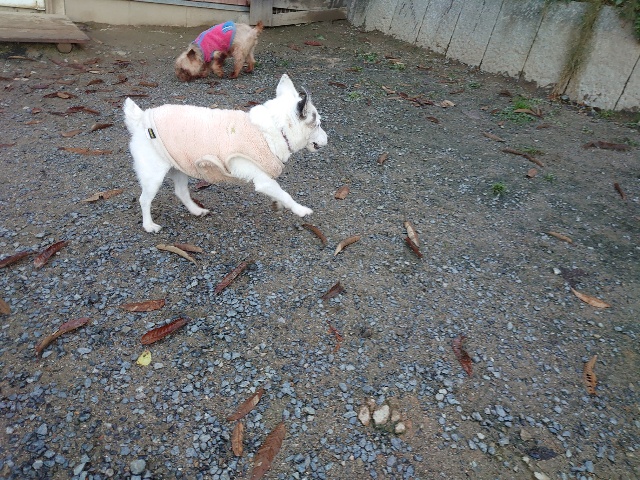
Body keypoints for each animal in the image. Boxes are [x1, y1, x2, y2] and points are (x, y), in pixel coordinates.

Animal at [123, 74, 328, 233]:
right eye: (318, 124)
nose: (327, 138)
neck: (277, 128)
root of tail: (141, 119)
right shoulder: (261, 179)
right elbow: (285, 194)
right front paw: (300, 209)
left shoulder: (267, 179)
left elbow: (277, 192)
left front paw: (278, 203)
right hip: (153, 176)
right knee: (144, 200)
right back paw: (149, 225)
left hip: (179, 165)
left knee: (181, 192)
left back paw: (196, 211)